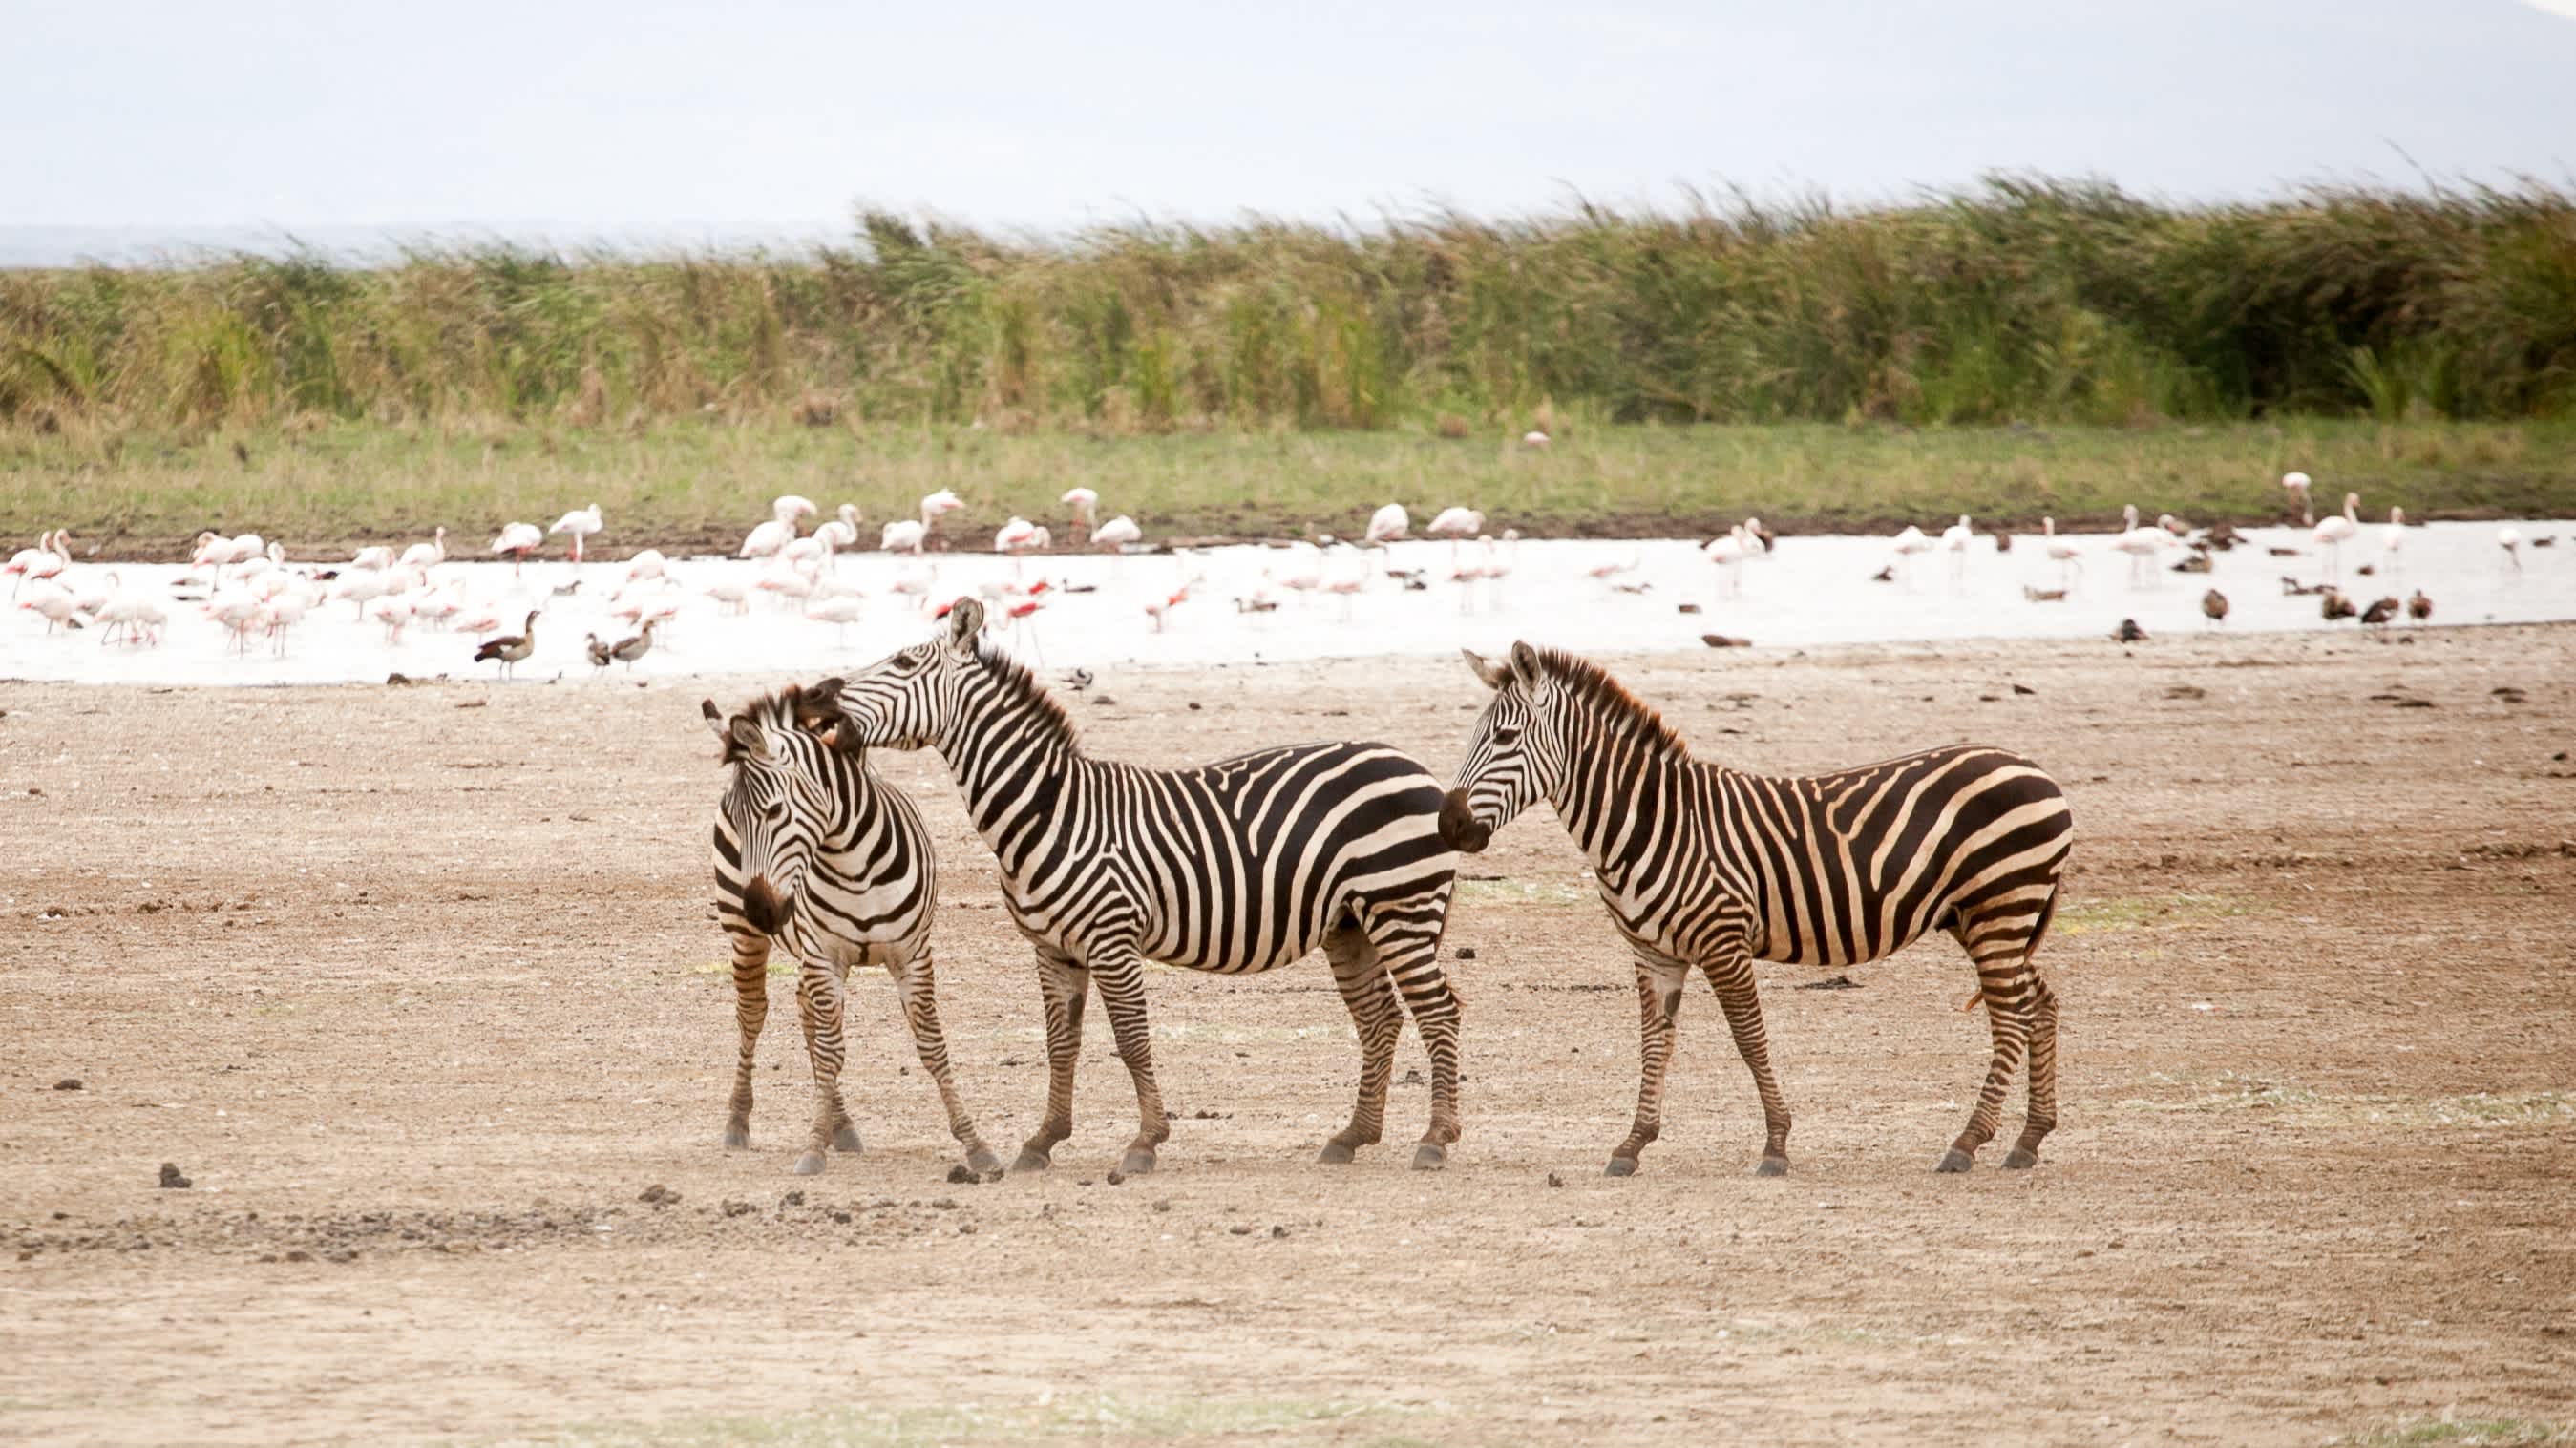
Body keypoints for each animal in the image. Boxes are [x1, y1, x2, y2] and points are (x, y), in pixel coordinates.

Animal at [710, 680, 999, 1174]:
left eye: (773, 812)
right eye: (739, 818)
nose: (762, 912)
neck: (853, 862)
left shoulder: (912, 954)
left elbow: (932, 1046)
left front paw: (975, 1144)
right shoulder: (824, 955)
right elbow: (831, 1053)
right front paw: (812, 1148)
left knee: (806, 1012)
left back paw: (840, 1125)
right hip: (745, 937)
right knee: (752, 1015)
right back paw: (738, 1120)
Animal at [824, 598, 1473, 1174]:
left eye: (903, 663)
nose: (824, 694)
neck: (1048, 810)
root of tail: (1410, 762)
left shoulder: (1112, 938)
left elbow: (1132, 1040)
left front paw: (1144, 1143)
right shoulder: (1053, 949)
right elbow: (1061, 1044)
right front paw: (1043, 1140)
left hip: (1401, 908)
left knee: (1438, 1010)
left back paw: (1435, 1140)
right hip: (1351, 924)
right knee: (1380, 1018)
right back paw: (1352, 1137)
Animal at [1452, 641, 2071, 1174]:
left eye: (1504, 737)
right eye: (1473, 736)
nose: (1451, 825)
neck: (1651, 822)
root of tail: (2036, 769)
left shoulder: (1722, 941)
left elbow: (1750, 1039)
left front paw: (1776, 1144)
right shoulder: (1653, 954)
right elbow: (1655, 1043)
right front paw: (1631, 1145)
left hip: (2001, 906)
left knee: (2011, 1017)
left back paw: (1967, 1142)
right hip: (1987, 917)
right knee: (2038, 1002)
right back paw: (2028, 1139)